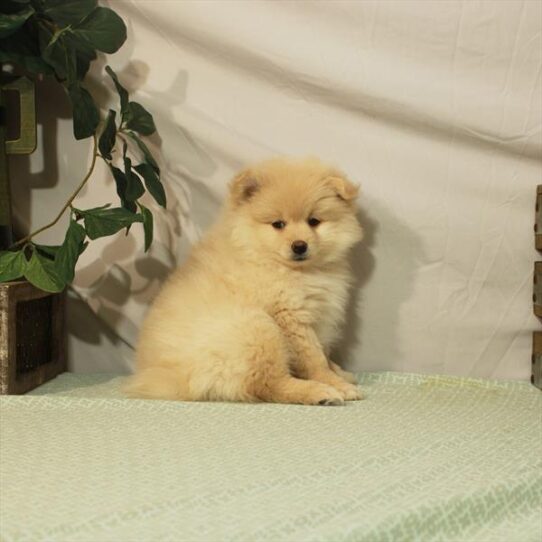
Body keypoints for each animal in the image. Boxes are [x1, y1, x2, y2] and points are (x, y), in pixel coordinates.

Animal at [126, 156, 366, 404]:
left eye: (314, 221)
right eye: (278, 224)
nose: (299, 245)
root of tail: (174, 379)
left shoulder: (319, 315)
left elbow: (323, 353)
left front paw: (341, 373)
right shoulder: (290, 315)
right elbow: (314, 358)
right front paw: (336, 383)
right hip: (256, 328)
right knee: (269, 383)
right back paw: (317, 392)